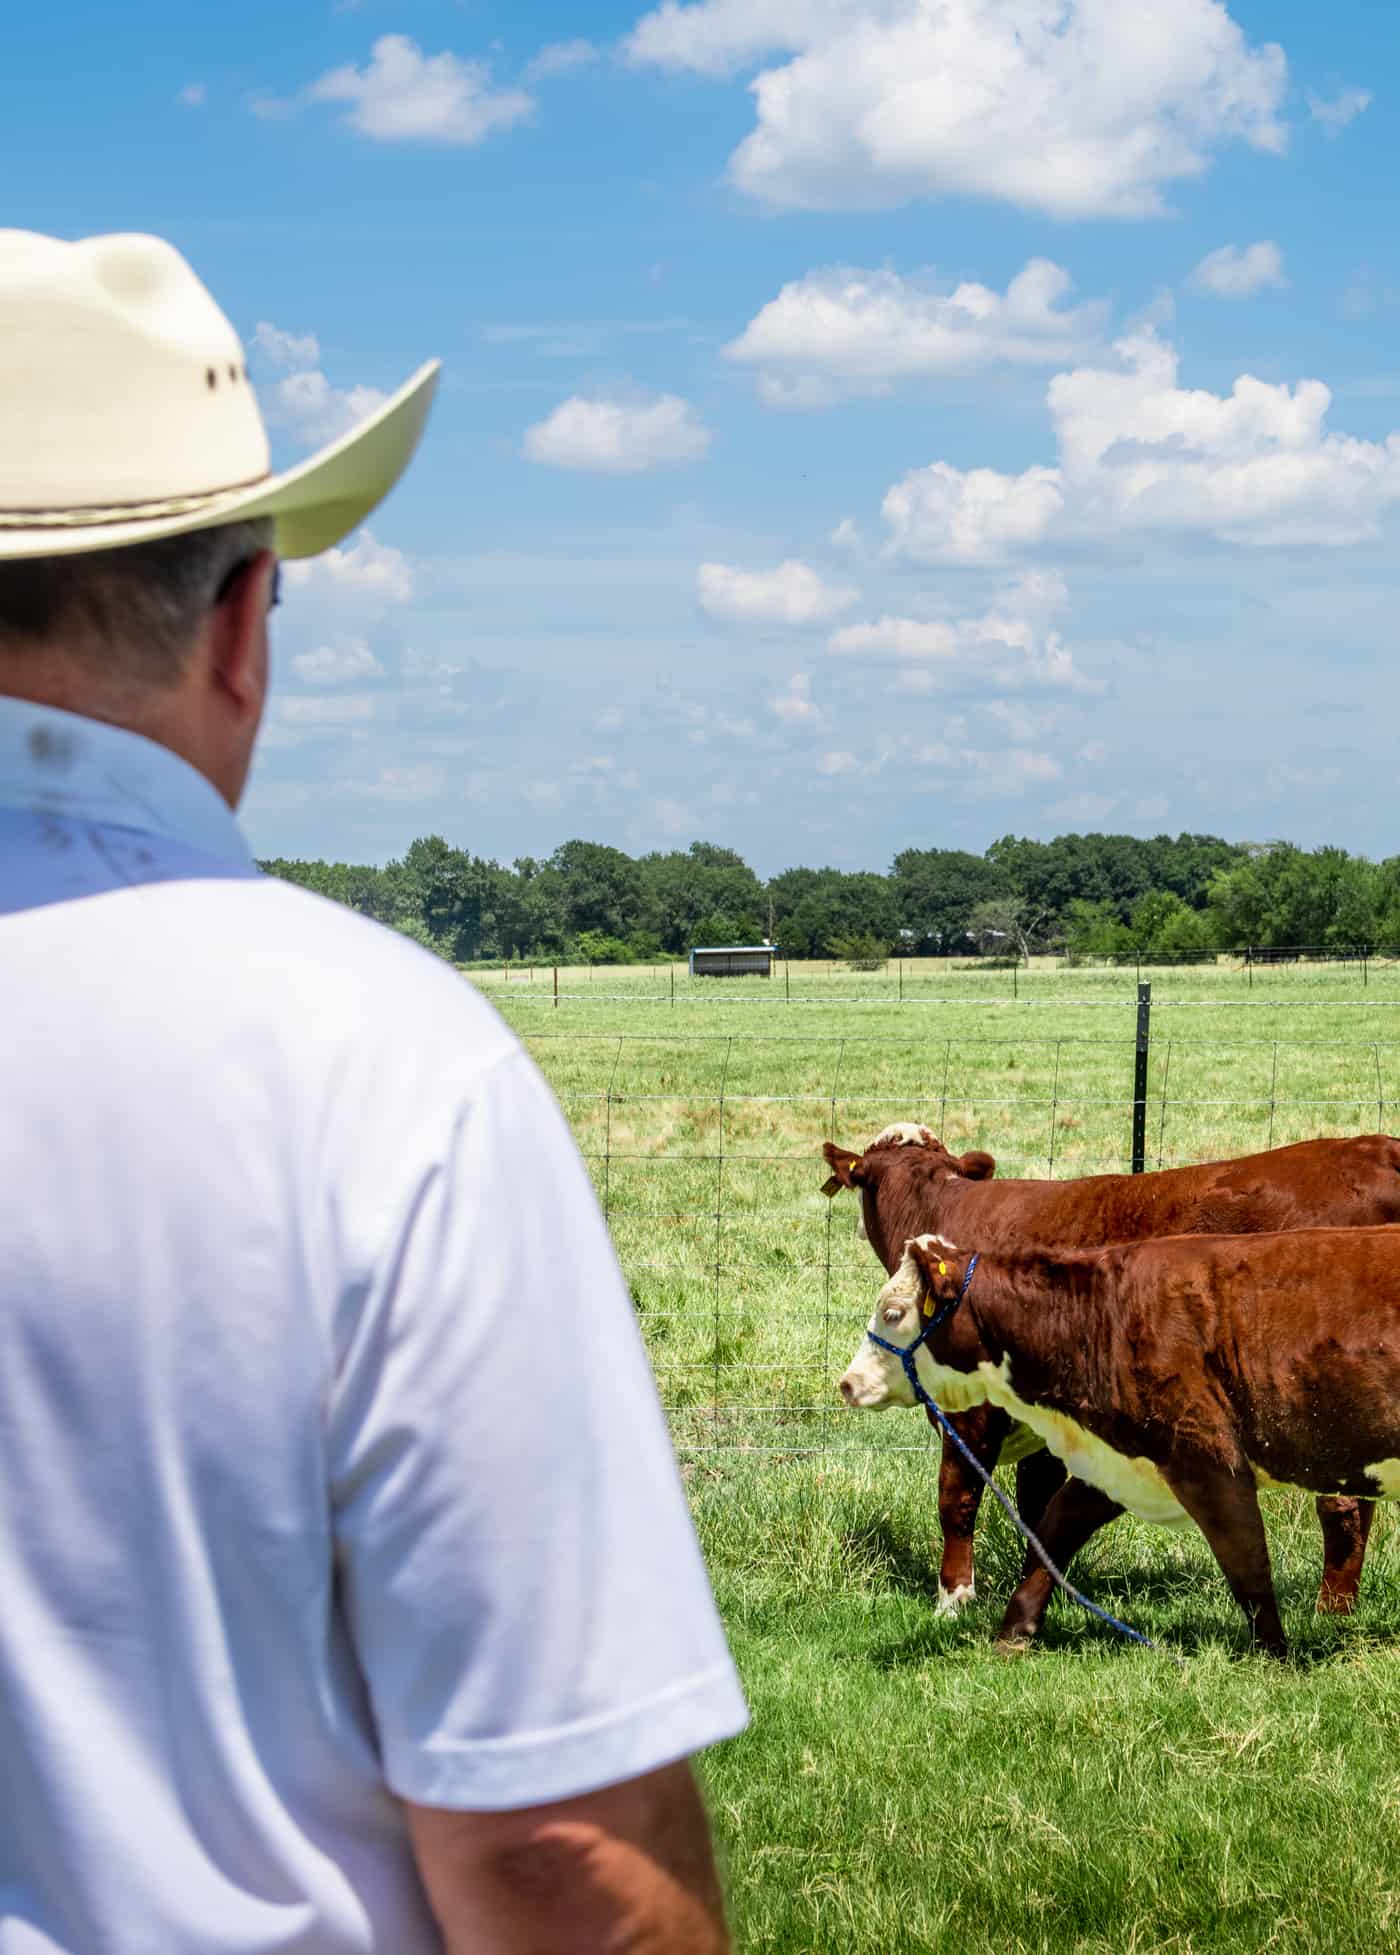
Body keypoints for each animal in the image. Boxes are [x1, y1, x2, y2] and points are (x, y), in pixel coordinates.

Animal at [821, 1133, 1400, 1618]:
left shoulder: (972, 1416)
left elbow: (957, 1500)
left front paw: (953, 1600)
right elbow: (1039, 1508)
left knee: (1344, 1505)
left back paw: (1331, 1611)